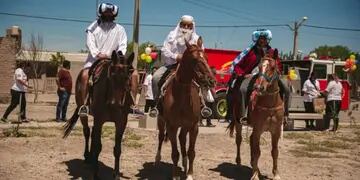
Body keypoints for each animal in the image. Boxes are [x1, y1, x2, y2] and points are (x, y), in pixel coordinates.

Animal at [62, 50, 134, 180]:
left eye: (129, 73)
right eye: (112, 73)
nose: (115, 103)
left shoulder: (121, 122)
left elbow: (117, 149)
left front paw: (116, 174)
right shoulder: (99, 120)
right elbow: (98, 146)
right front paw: (95, 174)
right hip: (84, 115)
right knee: (87, 132)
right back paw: (87, 157)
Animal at [154, 37, 214, 180]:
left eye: (206, 58)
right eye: (195, 60)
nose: (211, 81)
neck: (181, 97)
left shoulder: (193, 126)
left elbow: (191, 151)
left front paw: (190, 174)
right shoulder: (172, 126)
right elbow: (174, 153)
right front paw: (175, 175)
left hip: (185, 125)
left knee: (182, 139)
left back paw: (185, 163)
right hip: (161, 120)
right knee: (160, 137)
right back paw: (157, 159)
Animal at [228, 49, 284, 180]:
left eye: (273, 67)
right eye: (259, 67)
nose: (259, 87)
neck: (270, 105)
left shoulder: (276, 131)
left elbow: (274, 151)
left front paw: (276, 174)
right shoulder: (258, 129)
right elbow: (257, 152)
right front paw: (254, 175)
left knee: (251, 141)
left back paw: (255, 167)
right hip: (238, 122)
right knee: (239, 140)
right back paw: (239, 163)